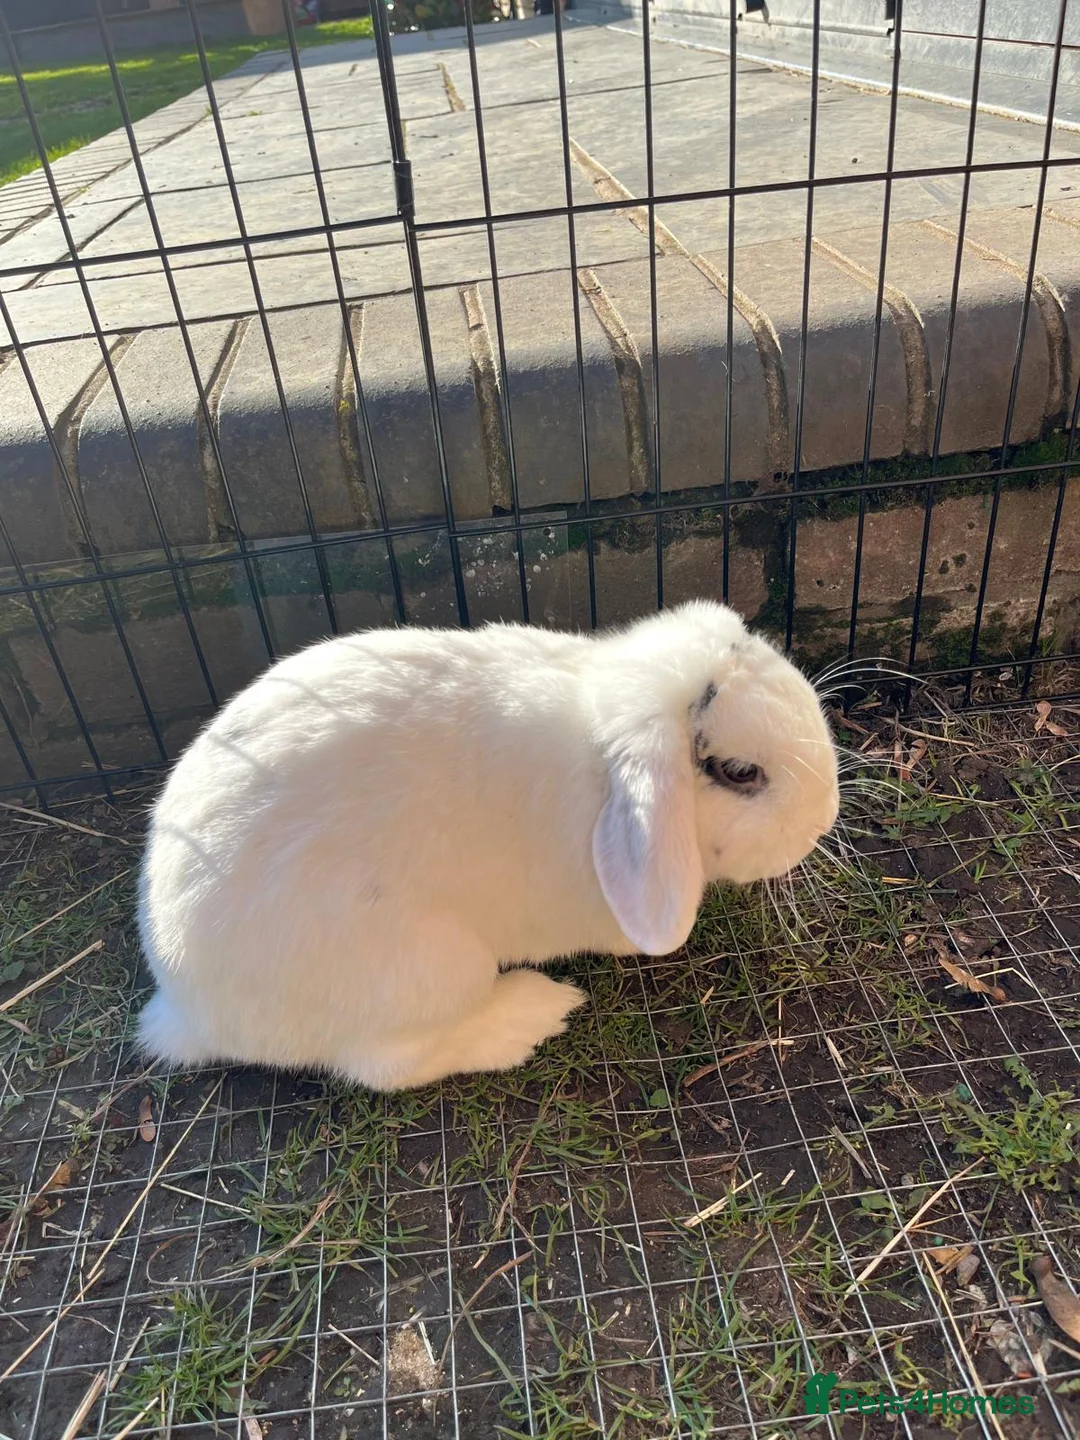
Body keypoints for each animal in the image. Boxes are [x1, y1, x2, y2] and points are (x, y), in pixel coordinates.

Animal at [137, 600, 839, 1091]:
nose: (825, 817)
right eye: (740, 773)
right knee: (387, 1067)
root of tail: (184, 1006)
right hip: (431, 971)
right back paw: (531, 1014)